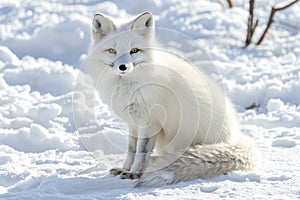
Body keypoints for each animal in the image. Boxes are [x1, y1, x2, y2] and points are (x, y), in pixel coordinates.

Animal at [84, 11, 255, 187]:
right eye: (112, 51)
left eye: (134, 50)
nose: (123, 67)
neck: (130, 86)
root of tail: (235, 137)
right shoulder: (133, 123)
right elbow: (131, 150)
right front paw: (124, 169)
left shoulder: (150, 123)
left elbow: (141, 152)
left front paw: (134, 174)